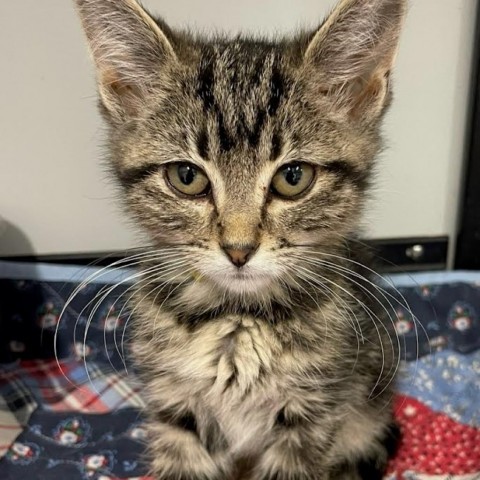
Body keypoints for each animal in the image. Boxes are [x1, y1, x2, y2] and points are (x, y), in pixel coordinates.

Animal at [75, 0, 404, 478]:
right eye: (186, 177)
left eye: (293, 177)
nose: (239, 249)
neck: (236, 319)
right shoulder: (174, 400)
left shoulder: (314, 408)